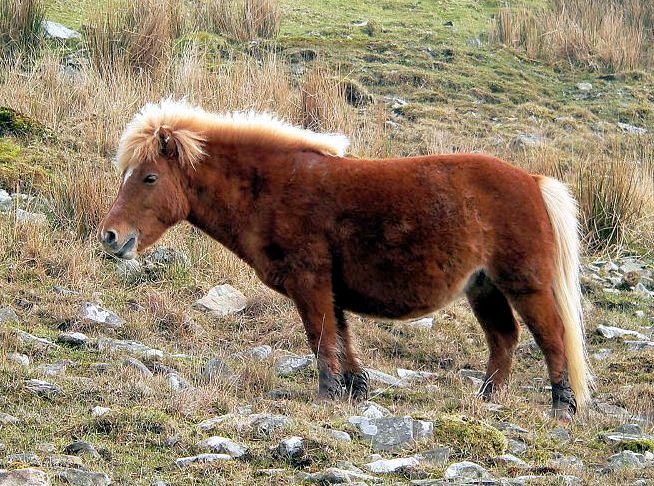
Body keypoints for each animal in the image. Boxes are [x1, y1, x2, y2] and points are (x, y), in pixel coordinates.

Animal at [97, 98, 596, 418]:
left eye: (148, 177)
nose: (110, 237)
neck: (273, 189)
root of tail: (532, 181)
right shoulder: (329, 289)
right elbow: (341, 338)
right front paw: (354, 392)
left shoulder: (310, 283)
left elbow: (321, 338)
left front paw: (326, 396)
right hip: (484, 288)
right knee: (504, 339)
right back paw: (486, 400)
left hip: (525, 285)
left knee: (551, 337)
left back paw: (561, 408)